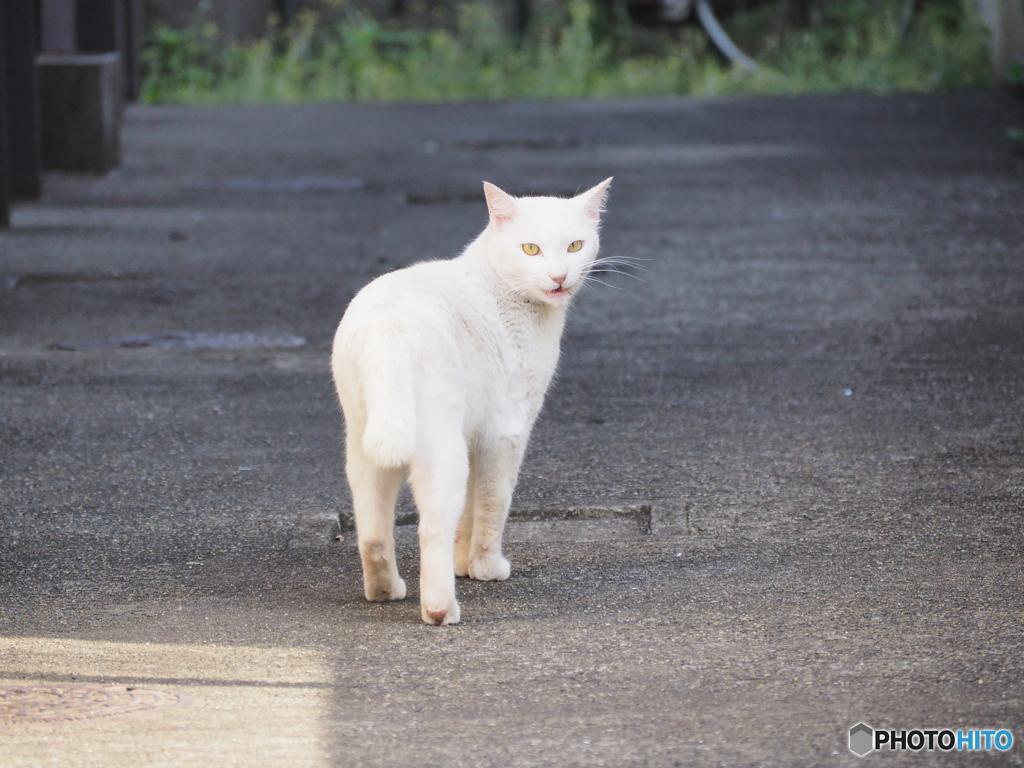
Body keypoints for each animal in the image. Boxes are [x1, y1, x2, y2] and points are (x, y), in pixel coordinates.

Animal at [331, 179, 610, 626]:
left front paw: (464, 563)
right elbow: (494, 503)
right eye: (530, 249)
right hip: (440, 446)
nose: (559, 276)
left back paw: (386, 590)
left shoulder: (475, 433)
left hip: (365, 441)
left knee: (373, 533)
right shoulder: (507, 431)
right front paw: (486, 567)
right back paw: (440, 608)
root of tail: (387, 327)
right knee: (431, 527)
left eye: (574, 246)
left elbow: (470, 510)